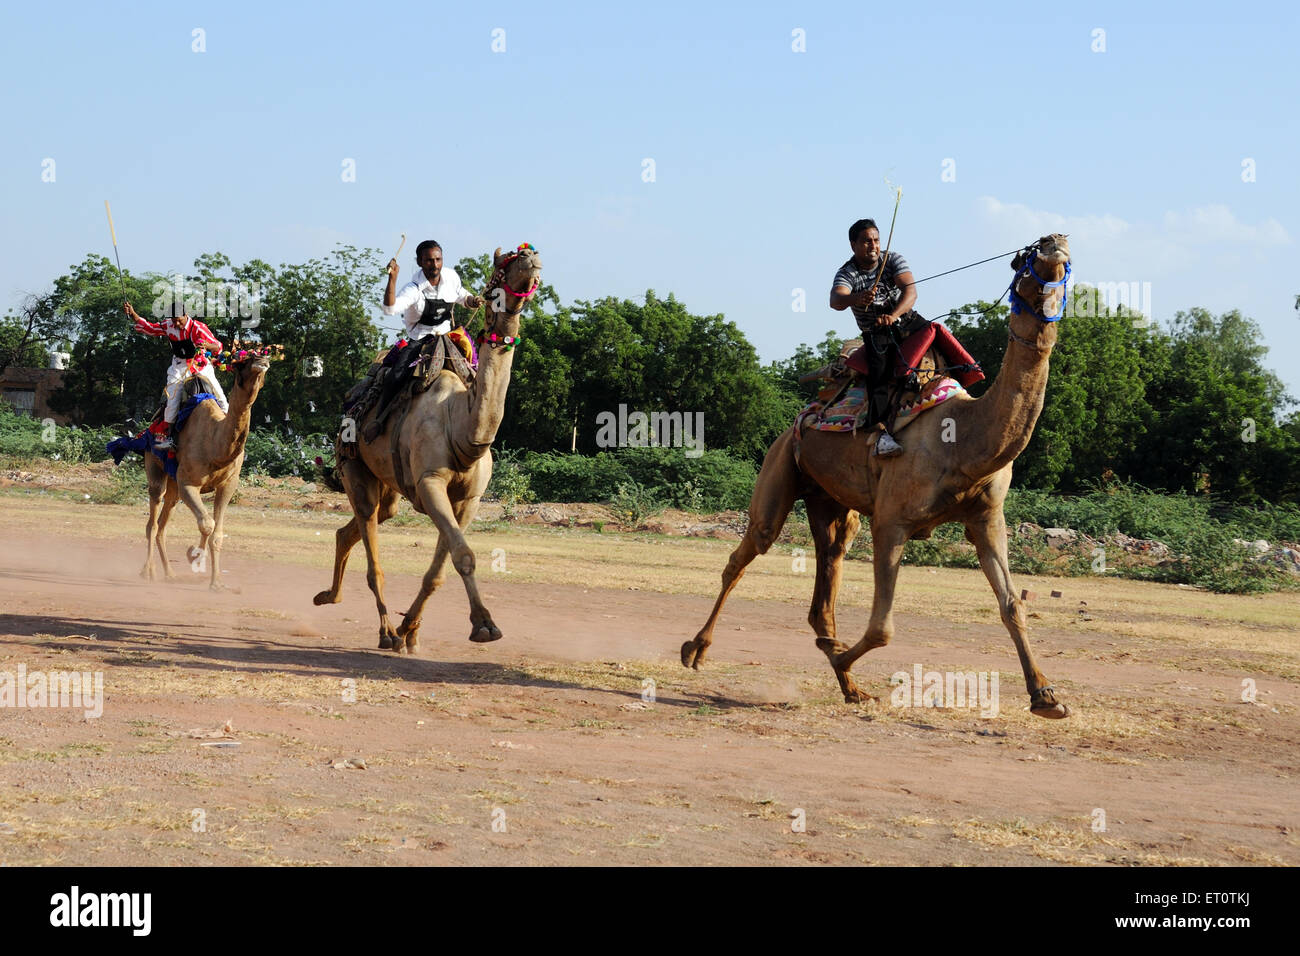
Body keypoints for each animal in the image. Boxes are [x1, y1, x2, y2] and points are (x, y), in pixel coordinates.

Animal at [142, 353, 271, 590]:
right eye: (242, 362)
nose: (263, 360)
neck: (215, 447)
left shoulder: (228, 485)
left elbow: (216, 533)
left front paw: (216, 582)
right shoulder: (188, 483)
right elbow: (206, 524)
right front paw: (194, 556)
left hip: (174, 487)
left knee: (163, 524)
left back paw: (169, 574)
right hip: (155, 467)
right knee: (153, 522)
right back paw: (148, 572)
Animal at [317, 244, 546, 658]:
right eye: (504, 263)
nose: (530, 257)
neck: (462, 430)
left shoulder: (468, 499)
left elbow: (441, 568)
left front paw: (412, 631)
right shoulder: (430, 482)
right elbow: (464, 556)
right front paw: (484, 625)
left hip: (389, 486)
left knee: (361, 524)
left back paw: (332, 598)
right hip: (353, 467)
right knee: (370, 542)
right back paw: (384, 632)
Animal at [681, 238, 1076, 717]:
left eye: (1063, 268)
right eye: (1028, 265)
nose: (1056, 243)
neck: (963, 439)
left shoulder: (986, 517)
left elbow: (1013, 605)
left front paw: (1046, 696)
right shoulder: (892, 520)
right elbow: (882, 627)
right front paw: (837, 657)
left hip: (830, 502)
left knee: (827, 577)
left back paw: (849, 682)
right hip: (779, 467)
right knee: (746, 551)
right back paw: (695, 650)